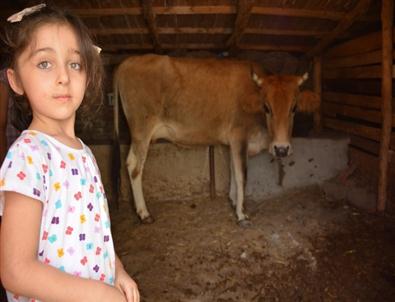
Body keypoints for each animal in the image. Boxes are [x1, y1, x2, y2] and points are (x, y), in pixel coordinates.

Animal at [113, 54, 320, 225]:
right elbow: (242, 175)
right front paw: (242, 215)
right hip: (141, 129)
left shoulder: (233, 143)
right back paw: (144, 213)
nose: (281, 149)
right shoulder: (239, 136)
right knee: (135, 167)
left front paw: (234, 202)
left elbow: (233, 172)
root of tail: (128, 62)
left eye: (294, 108)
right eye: (266, 107)